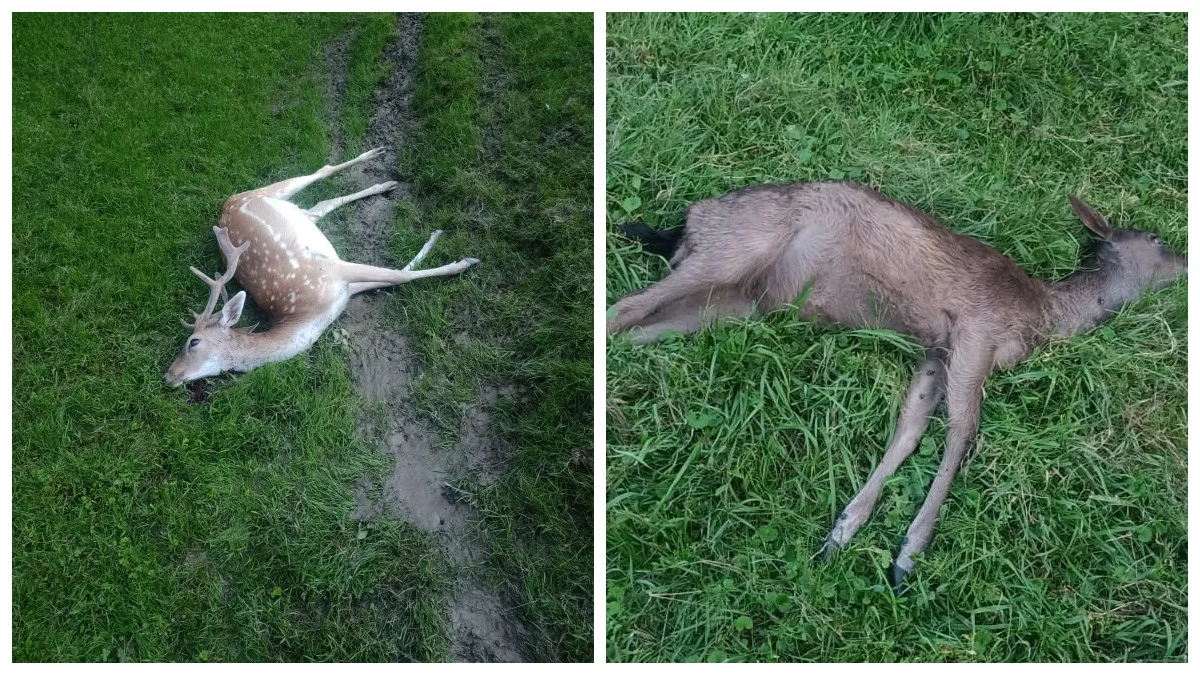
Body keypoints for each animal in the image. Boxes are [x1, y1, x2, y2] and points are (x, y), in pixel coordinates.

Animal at [614, 181, 1185, 586]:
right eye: (1156, 238)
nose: (1184, 261)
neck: (1042, 316)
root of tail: (686, 221)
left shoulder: (935, 352)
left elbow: (909, 428)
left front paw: (842, 532)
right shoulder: (976, 333)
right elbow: (962, 433)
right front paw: (907, 557)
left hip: (729, 304)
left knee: (637, 327)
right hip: (733, 250)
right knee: (621, 308)